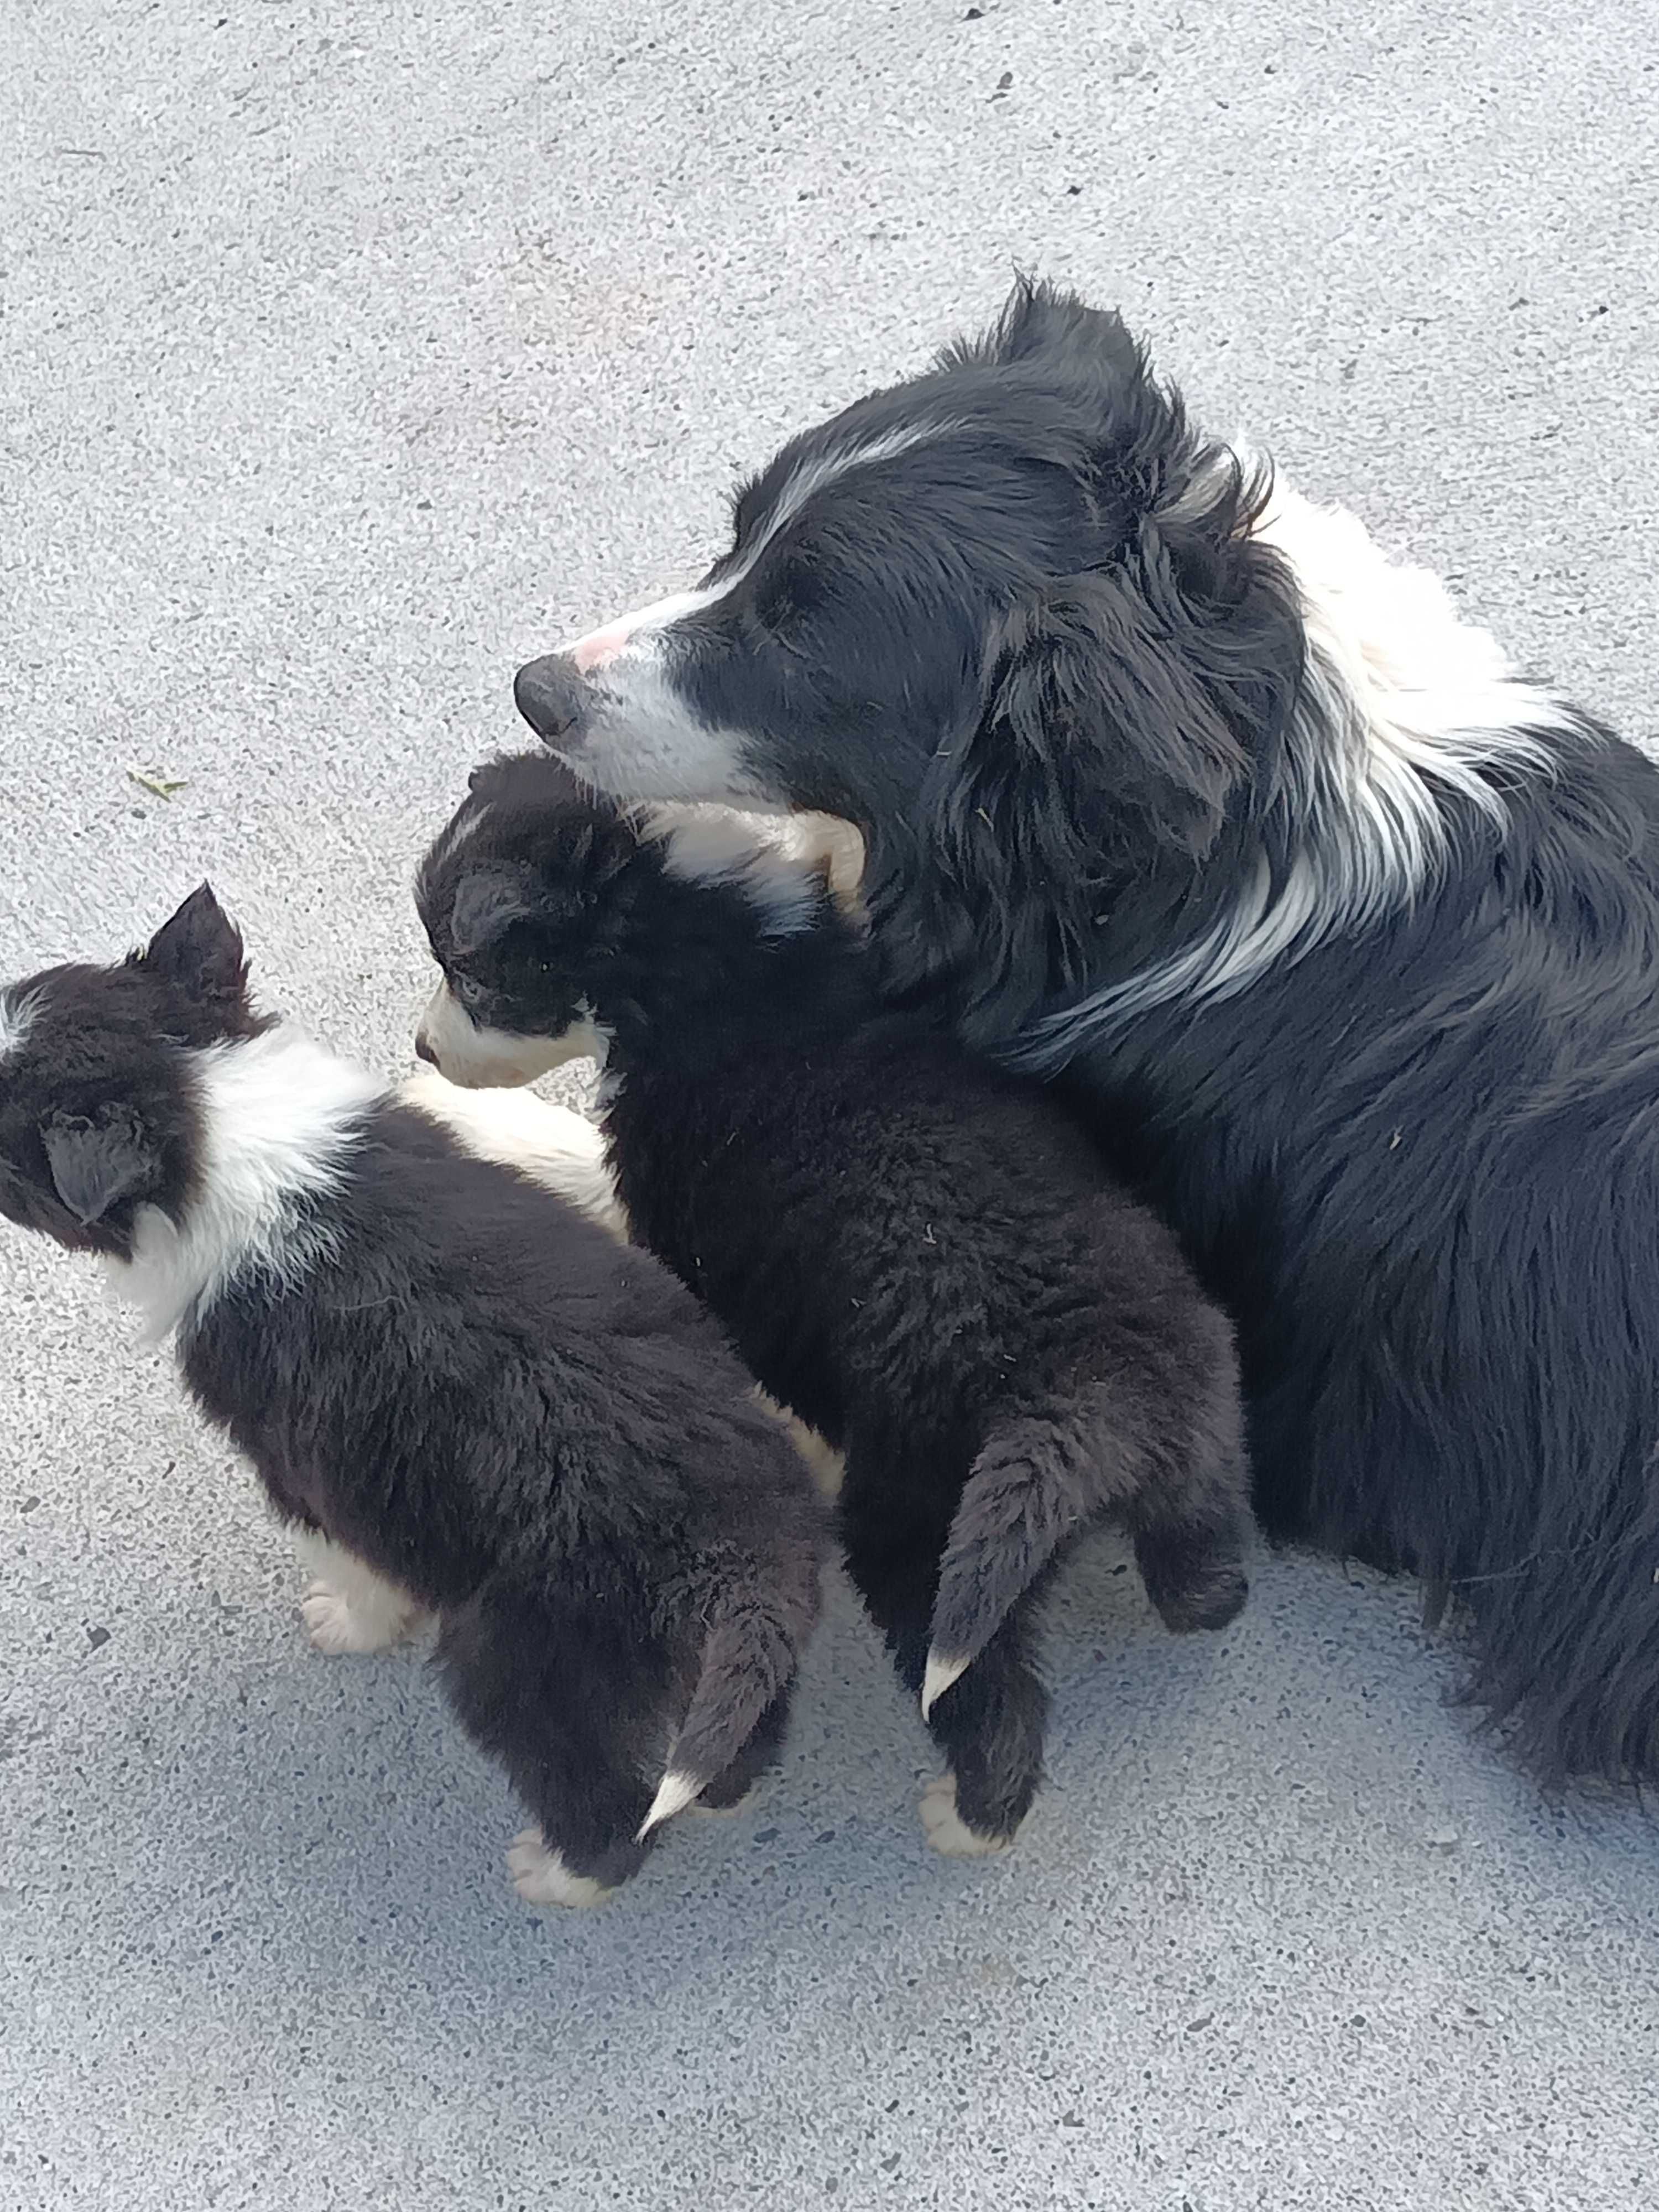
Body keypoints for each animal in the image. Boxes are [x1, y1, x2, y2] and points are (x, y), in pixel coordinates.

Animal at [0, 889, 827, 1911]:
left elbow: (355, 1565)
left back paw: (552, 1874)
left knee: (604, 1808)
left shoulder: (306, 1474)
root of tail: (736, 1558)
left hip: (529, 1664)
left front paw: (342, 1626)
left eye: (8, 1162)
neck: (212, 1121)